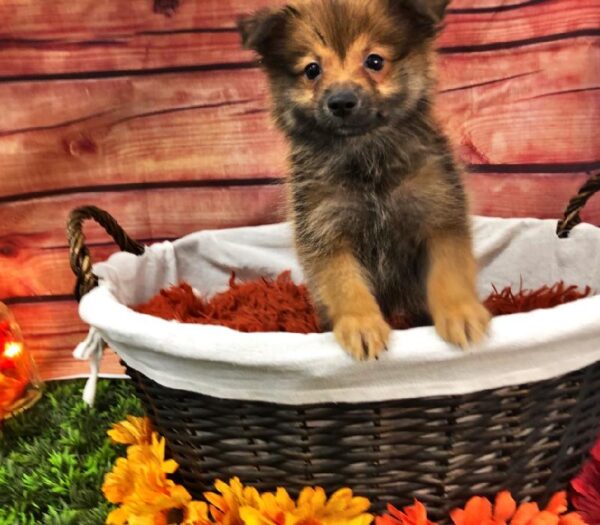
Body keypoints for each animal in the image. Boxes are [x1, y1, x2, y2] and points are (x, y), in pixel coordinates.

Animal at [237, 0, 490, 360]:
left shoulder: (439, 216)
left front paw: (461, 313)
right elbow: (345, 285)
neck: (367, 161)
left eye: (374, 61)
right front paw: (361, 324)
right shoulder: (326, 231)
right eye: (312, 70)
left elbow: (448, 273)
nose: (341, 101)